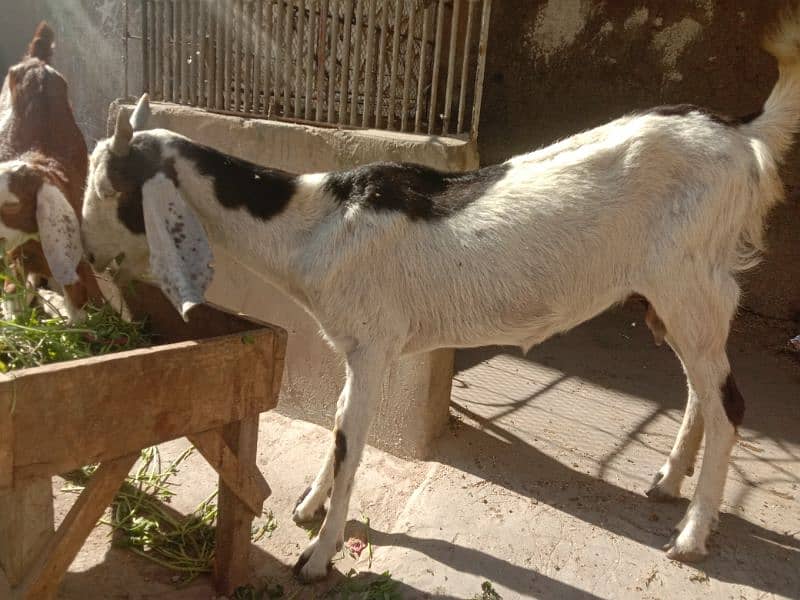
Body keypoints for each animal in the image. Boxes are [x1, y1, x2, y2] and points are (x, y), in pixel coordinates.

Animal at [81, 10, 800, 580]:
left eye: (112, 188)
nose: (87, 256)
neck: (316, 222)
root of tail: (743, 135)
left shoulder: (373, 345)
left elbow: (350, 440)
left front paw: (317, 555)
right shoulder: (358, 347)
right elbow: (338, 420)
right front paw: (308, 505)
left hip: (687, 279)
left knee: (729, 402)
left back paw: (691, 537)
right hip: (674, 293)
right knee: (700, 387)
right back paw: (667, 482)